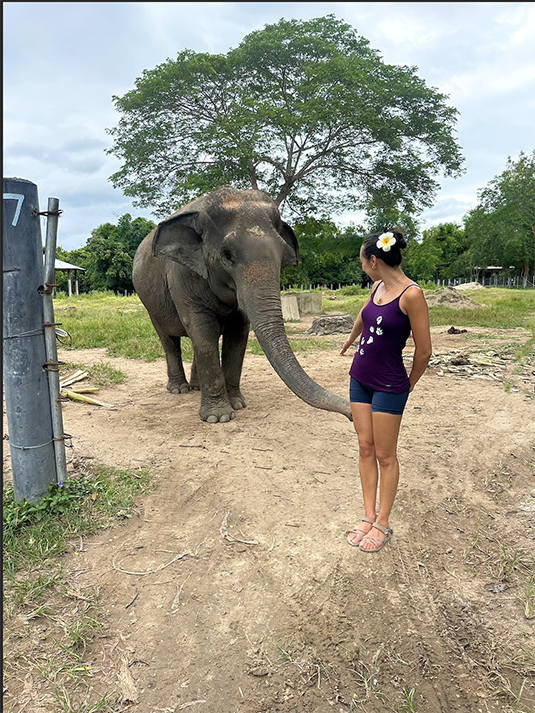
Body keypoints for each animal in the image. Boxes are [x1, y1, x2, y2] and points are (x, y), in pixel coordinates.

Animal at [132, 186, 352, 423]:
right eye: (227, 256)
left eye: (282, 255)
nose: (352, 413)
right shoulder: (182, 276)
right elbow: (202, 330)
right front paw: (218, 418)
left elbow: (237, 335)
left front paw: (238, 404)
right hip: (150, 304)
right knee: (170, 339)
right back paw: (179, 389)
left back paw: (197, 387)